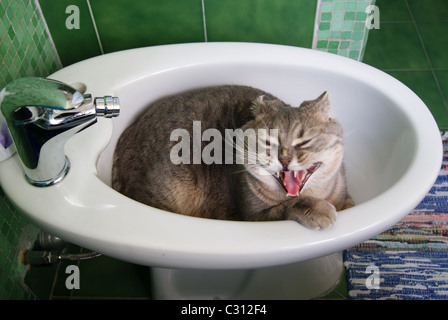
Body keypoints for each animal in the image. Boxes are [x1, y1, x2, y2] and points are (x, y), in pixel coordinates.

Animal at [111, 85, 354, 230]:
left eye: (304, 141)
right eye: (268, 142)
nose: (284, 160)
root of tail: (129, 133)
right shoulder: (253, 216)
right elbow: (285, 207)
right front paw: (316, 209)